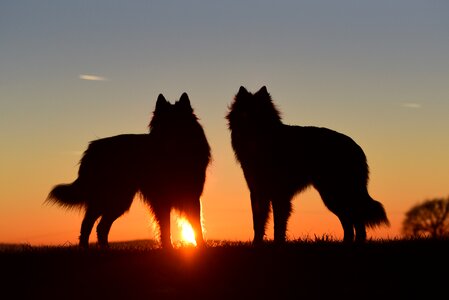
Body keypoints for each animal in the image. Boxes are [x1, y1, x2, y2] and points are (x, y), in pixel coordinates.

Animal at [46, 93, 211, 248]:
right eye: (163, 125)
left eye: (179, 123)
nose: (168, 142)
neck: (174, 157)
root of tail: (92, 148)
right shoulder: (161, 199)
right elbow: (166, 226)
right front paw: (168, 248)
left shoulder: (192, 196)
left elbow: (196, 225)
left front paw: (200, 248)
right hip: (113, 198)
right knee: (88, 224)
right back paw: (86, 249)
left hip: (119, 200)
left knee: (101, 226)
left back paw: (105, 249)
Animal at [228, 85, 388, 244]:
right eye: (244, 113)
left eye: (259, 112)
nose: (249, 126)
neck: (263, 143)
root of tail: (356, 147)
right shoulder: (258, 192)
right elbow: (258, 222)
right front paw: (257, 244)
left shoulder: (279, 193)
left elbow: (278, 223)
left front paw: (278, 243)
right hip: (332, 194)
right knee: (349, 220)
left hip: (335, 193)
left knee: (356, 218)